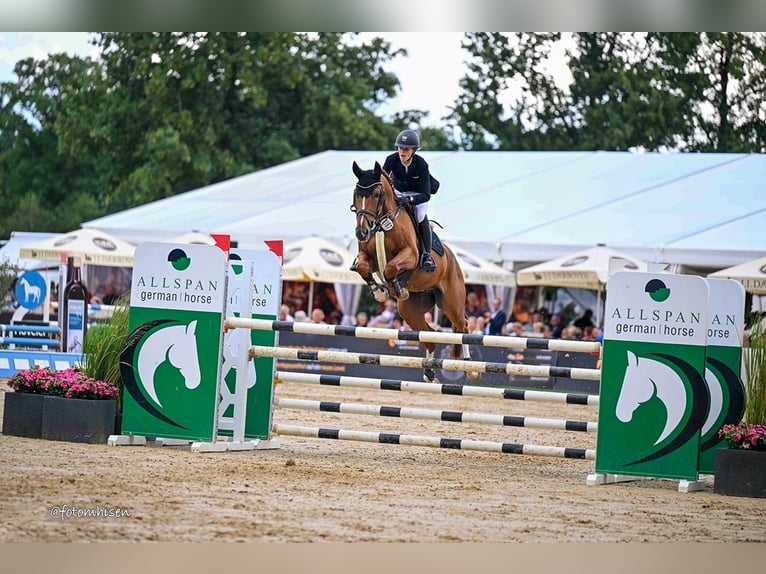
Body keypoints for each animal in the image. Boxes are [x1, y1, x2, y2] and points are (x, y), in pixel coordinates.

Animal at [350, 160, 478, 383]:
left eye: (376, 193)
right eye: (357, 193)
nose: (362, 232)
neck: (382, 225)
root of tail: (453, 259)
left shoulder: (409, 255)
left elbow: (391, 267)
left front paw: (396, 288)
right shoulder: (367, 257)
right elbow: (363, 267)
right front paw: (380, 290)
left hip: (451, 303)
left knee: (463, 326)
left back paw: (470, 369)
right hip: (410, 311)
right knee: (430, 336)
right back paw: (429, 373)